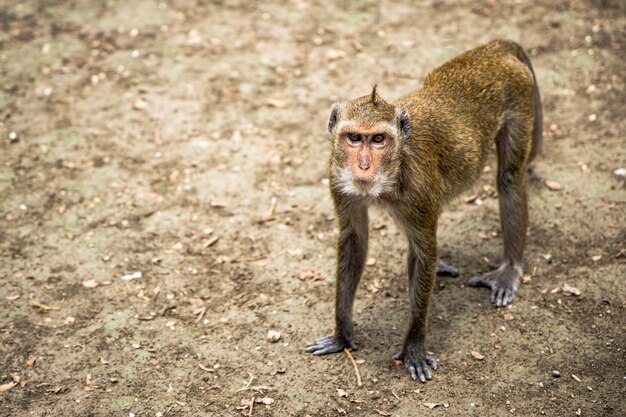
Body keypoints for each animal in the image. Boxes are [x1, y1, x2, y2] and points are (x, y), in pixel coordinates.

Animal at [304, 40, 540, 382]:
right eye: (354, 138)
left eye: (378, 139)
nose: (363, 165)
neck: (393, 173)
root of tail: (492, 49)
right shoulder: (337, 177)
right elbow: (354, 238)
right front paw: (342, 336)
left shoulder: (419, 187)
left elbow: (424, 252)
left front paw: (414, 346)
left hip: (520, 98)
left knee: (509, 176)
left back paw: (509, 268)